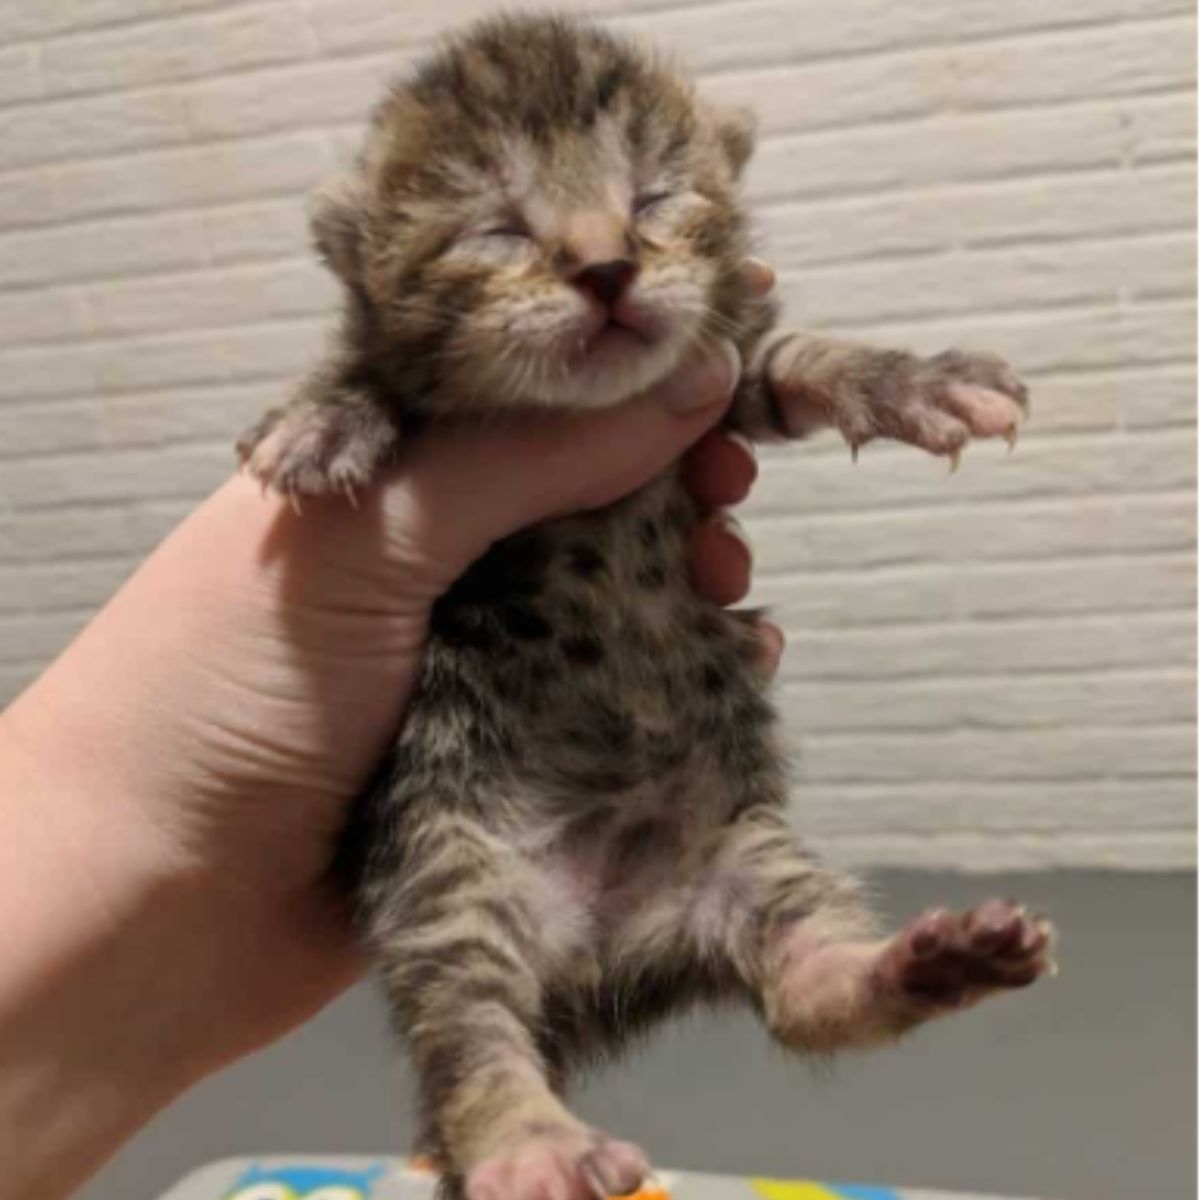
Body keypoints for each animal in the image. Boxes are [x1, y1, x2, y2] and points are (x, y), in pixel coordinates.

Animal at [238, 16, 1056, 1200]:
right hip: (447, 873)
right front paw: (325, 415)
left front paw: (918, 378)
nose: (607, 268)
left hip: (748, 860)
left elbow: (793, 356)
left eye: (655, 198)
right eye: (498, 227)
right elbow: (371, 371)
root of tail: (596, 952)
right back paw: (531, 1143)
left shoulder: (722, 377)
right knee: (471, 1039)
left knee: (805, 997)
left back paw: (928, 961)